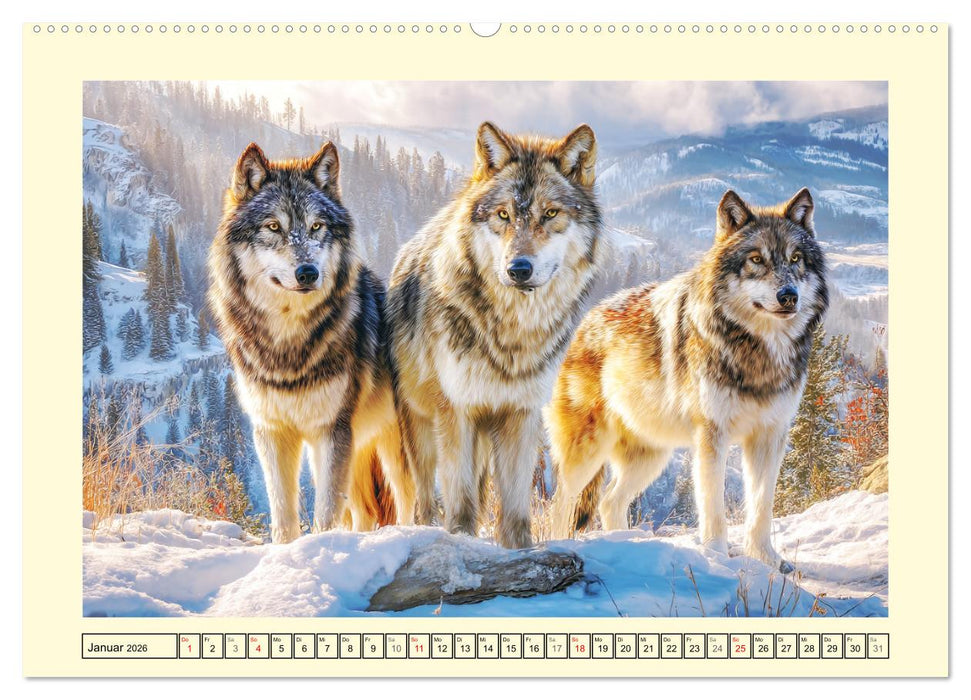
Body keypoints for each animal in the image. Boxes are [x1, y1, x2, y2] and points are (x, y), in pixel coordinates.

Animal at [208, 142, 415, 544]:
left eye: (316, 226)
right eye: (274, 226)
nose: (307, 273)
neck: (288, 344)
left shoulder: (331, 431)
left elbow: (325, 512)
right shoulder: (272, 432)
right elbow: (284, 515)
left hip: (395, 449)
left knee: (409, 501)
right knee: (365, 513)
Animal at [387, 122, 605, 549]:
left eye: (550, 213)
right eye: (504, 214)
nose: (518, 268)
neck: (512, 334)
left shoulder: (521, 413)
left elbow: (517, 506)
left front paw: (519, 550)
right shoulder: (455, 410)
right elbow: (459, 500)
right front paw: (460, 541)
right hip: (421, 426)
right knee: (424, 496)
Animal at [547, 188, 828, 572]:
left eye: (796, 258)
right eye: (756, 259)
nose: (788, 295)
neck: (756, 351)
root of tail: (587, 319)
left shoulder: (770, 437)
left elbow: (761, 507)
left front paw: (767, 560)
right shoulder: (711, 435)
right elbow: (714, 508)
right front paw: (717, 557)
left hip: (651, 457)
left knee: (609, 501)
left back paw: (624, 545)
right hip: (588, 452)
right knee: (561, 501)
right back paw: (557, 544)